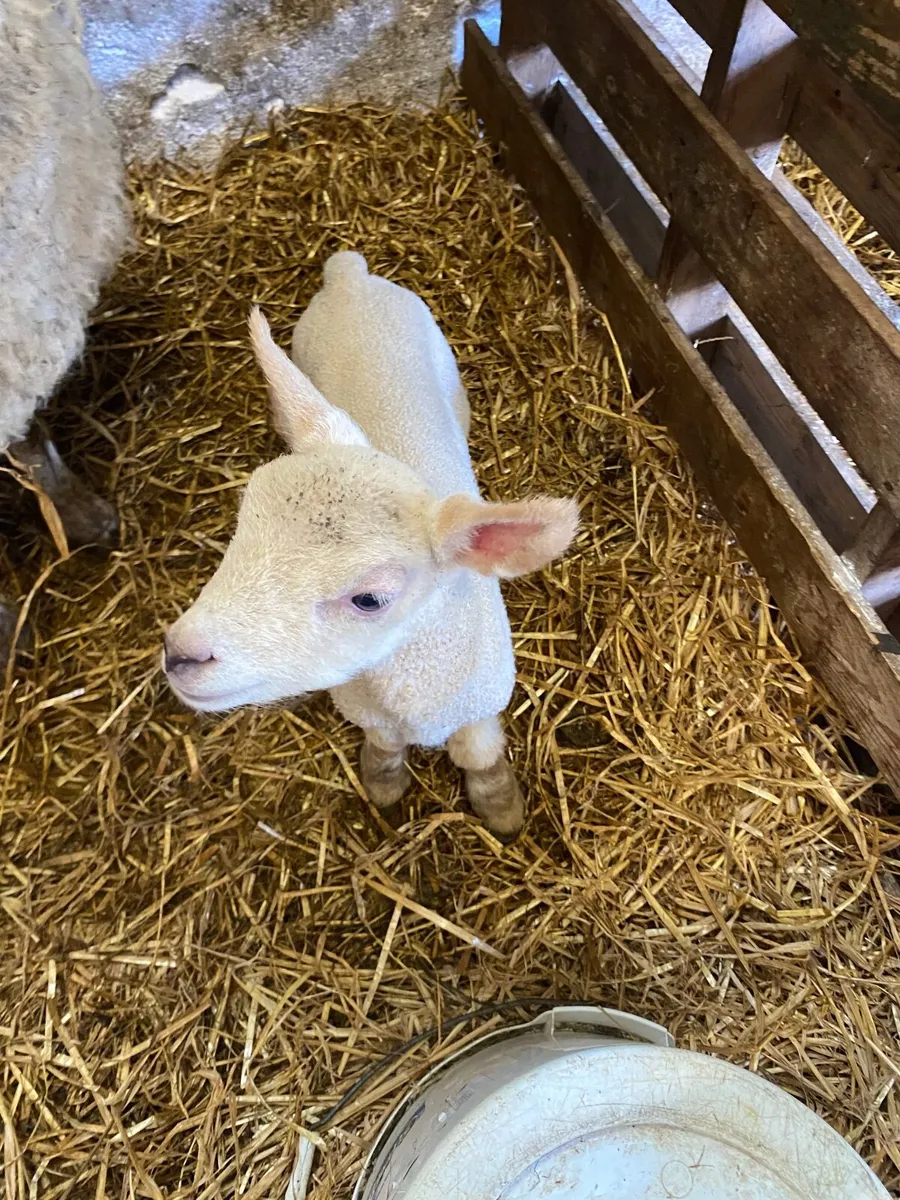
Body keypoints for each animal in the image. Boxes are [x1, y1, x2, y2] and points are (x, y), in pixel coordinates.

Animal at [164, 251, 578, 840]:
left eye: (369, 600)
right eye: (241, 526)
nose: (180, 654)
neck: (412, 689)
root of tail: (349, 276)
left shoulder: (481, 702)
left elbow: (478, 755)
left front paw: (501, 808)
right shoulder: (366, 709)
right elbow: (384, 746)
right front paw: (383, 783)